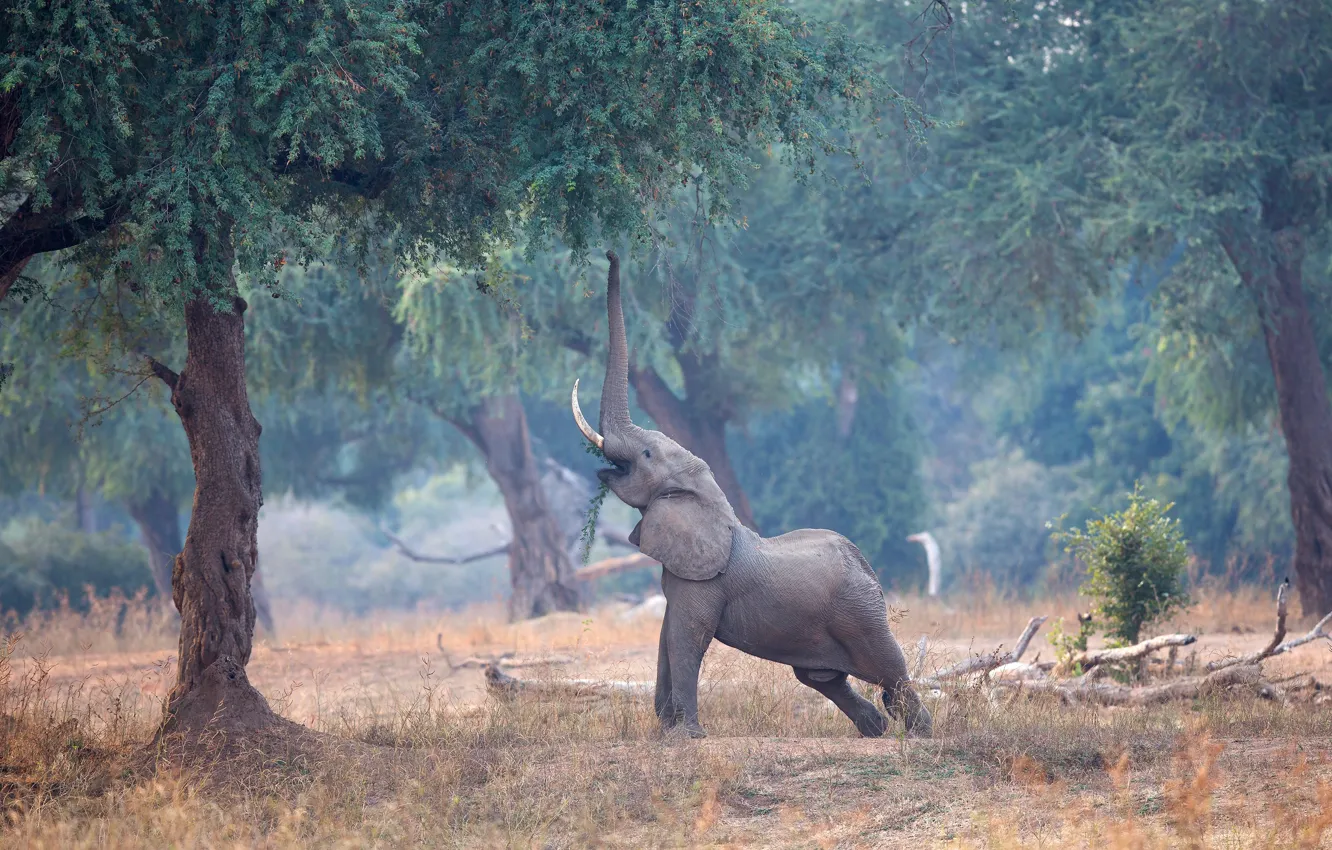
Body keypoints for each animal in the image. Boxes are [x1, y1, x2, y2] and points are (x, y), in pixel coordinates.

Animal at [569, 250, 932, 740]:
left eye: (645, 454)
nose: (610, 253)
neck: (705, 495)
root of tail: (866, 566)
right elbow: (667, 637)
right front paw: (667, 734)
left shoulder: (704, 583)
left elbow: (686, 638)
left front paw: (687, 738)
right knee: (826, 679)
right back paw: (876, 729)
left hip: (862, 612)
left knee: (890, 672)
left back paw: (919, 733)